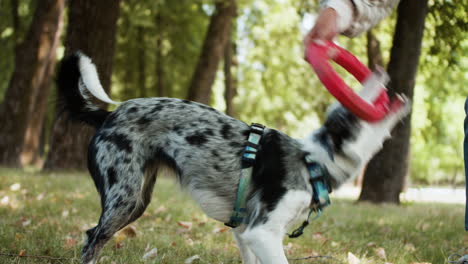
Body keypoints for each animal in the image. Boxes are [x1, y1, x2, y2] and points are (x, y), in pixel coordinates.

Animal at [57, 52, 410, 264]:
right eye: (359, 102)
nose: (382, 74)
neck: (315, 160)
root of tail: (108, 116)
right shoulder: (262, 232)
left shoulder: (244, 233)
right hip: (124, 198)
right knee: (92, 239)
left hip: (136, 200)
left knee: (94, 237)